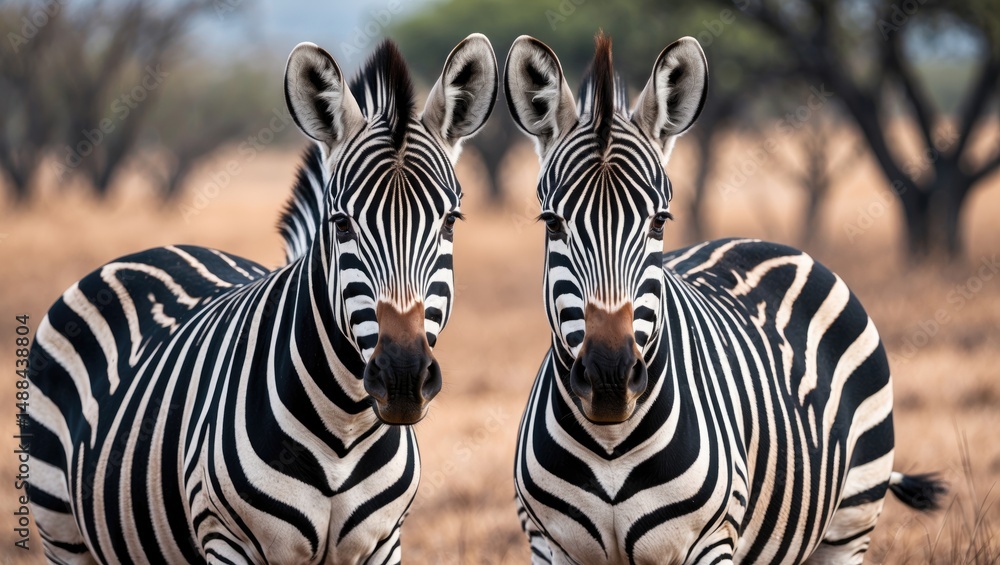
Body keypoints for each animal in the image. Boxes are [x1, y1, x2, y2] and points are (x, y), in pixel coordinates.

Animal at [27, 35, 498, 564]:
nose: (402, 379)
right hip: (61, 528)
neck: (345, 428)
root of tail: (156, 249)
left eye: (450, 222)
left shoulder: (382, 544)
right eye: (341, 224)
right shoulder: (227, 540)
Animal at [504, 33, 944, 564]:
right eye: (552, 223)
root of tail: (761, 241)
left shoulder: (710, 542)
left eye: (659, 221)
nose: (610, 376)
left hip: (850, 520)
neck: (610, 438)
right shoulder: (548, 544)